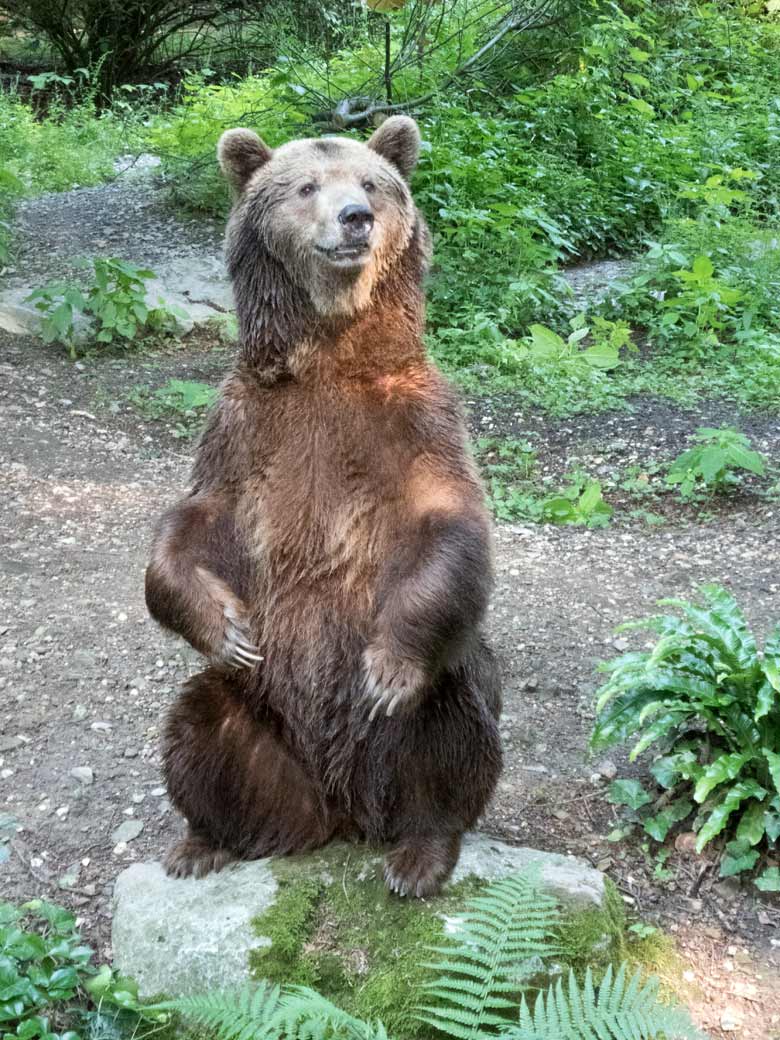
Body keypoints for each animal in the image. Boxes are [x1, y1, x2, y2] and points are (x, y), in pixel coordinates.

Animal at [143, 111, 503, 894]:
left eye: (371, 181)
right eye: (307, 185)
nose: (355, 217)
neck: (331, 358)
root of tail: (340, 812)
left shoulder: (416, 419)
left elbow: (451, 525)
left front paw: (387, 669)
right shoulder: (245, 428)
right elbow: (195, 524)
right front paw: (226, 626)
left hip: (403, 739)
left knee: (449, 723)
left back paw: (419, 854)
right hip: (263, 720)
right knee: (198, 725)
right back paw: (205, 841)